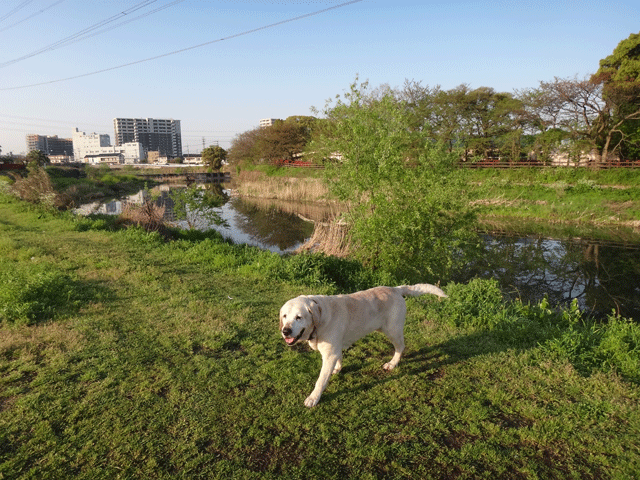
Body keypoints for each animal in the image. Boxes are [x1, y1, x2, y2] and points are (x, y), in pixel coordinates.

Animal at [278, 284, 448, 406]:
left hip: (392, 331)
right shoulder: (336, 348)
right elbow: (339, 358)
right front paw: (337, 368)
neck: (319, 321)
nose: (285, 331)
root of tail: (395, 289)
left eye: (299, 317)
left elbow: (320, 380)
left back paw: (392, 363)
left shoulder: (329, 354)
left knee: (400, 348)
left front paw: (313, 398)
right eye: (285, 316)